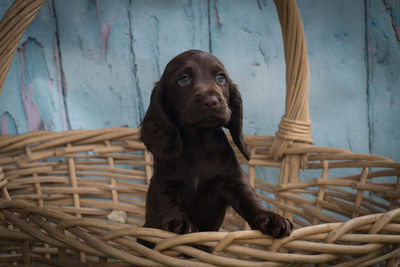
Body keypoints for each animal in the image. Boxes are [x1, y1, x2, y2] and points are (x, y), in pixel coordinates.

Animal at [141, 49, 294, 244]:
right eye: (184, 79)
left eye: (221, 78)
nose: (212, 100)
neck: (199, 143)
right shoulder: (163, 182)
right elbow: (168, 203)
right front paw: (180, 222)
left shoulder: (233, 181)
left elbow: (249, 199)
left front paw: (270, 217)